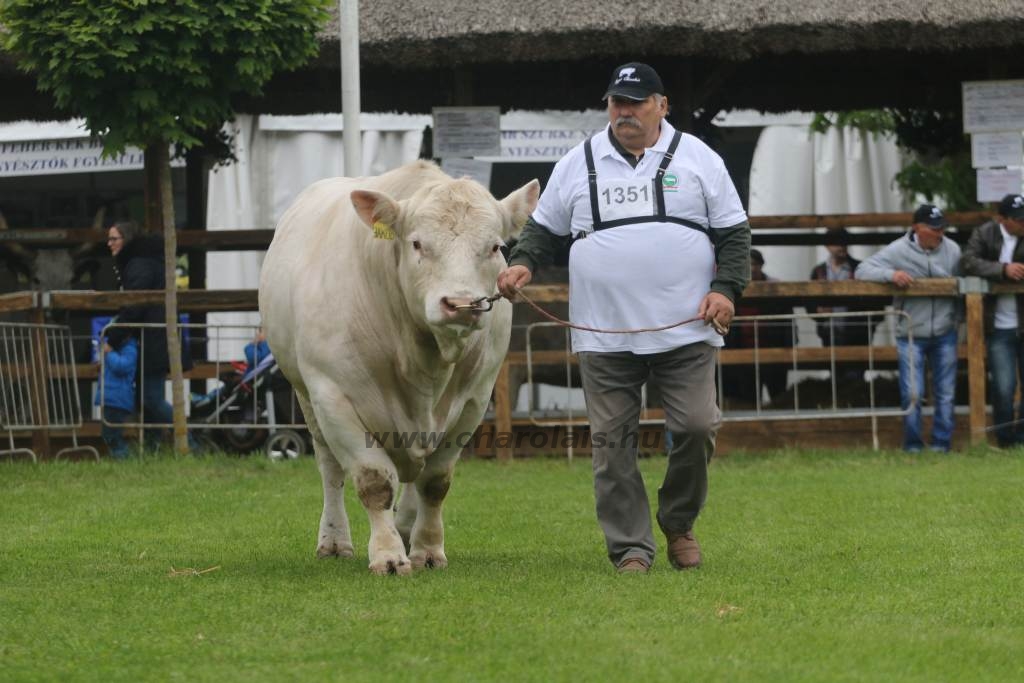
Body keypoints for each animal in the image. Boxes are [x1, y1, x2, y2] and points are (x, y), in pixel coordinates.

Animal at [260, 162, 540, 573]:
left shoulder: (474, 400)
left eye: (495, 247)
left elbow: (435, 483)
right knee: (330, 468)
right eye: (417, 244)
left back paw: (407, 527)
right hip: (305, 396)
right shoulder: (333, 397)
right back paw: (335, 540)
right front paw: (388, 554)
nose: (461, 304)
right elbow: (374, 481)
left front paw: (427, 549)